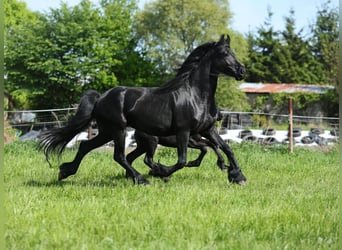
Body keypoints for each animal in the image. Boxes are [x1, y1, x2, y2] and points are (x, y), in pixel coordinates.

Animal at [40, 34, 247, 185]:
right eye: (224, 53)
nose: (242, 71)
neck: (196, 95)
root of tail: (101, 98)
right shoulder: (184, 132)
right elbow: (182, 160)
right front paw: (161, 171)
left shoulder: (207, 129)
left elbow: (226, 148)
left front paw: (237, 176)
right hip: (119, 130)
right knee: (120, 156)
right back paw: (141, 179)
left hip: (107, 131)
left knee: (86, 146)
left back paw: (65, 171)